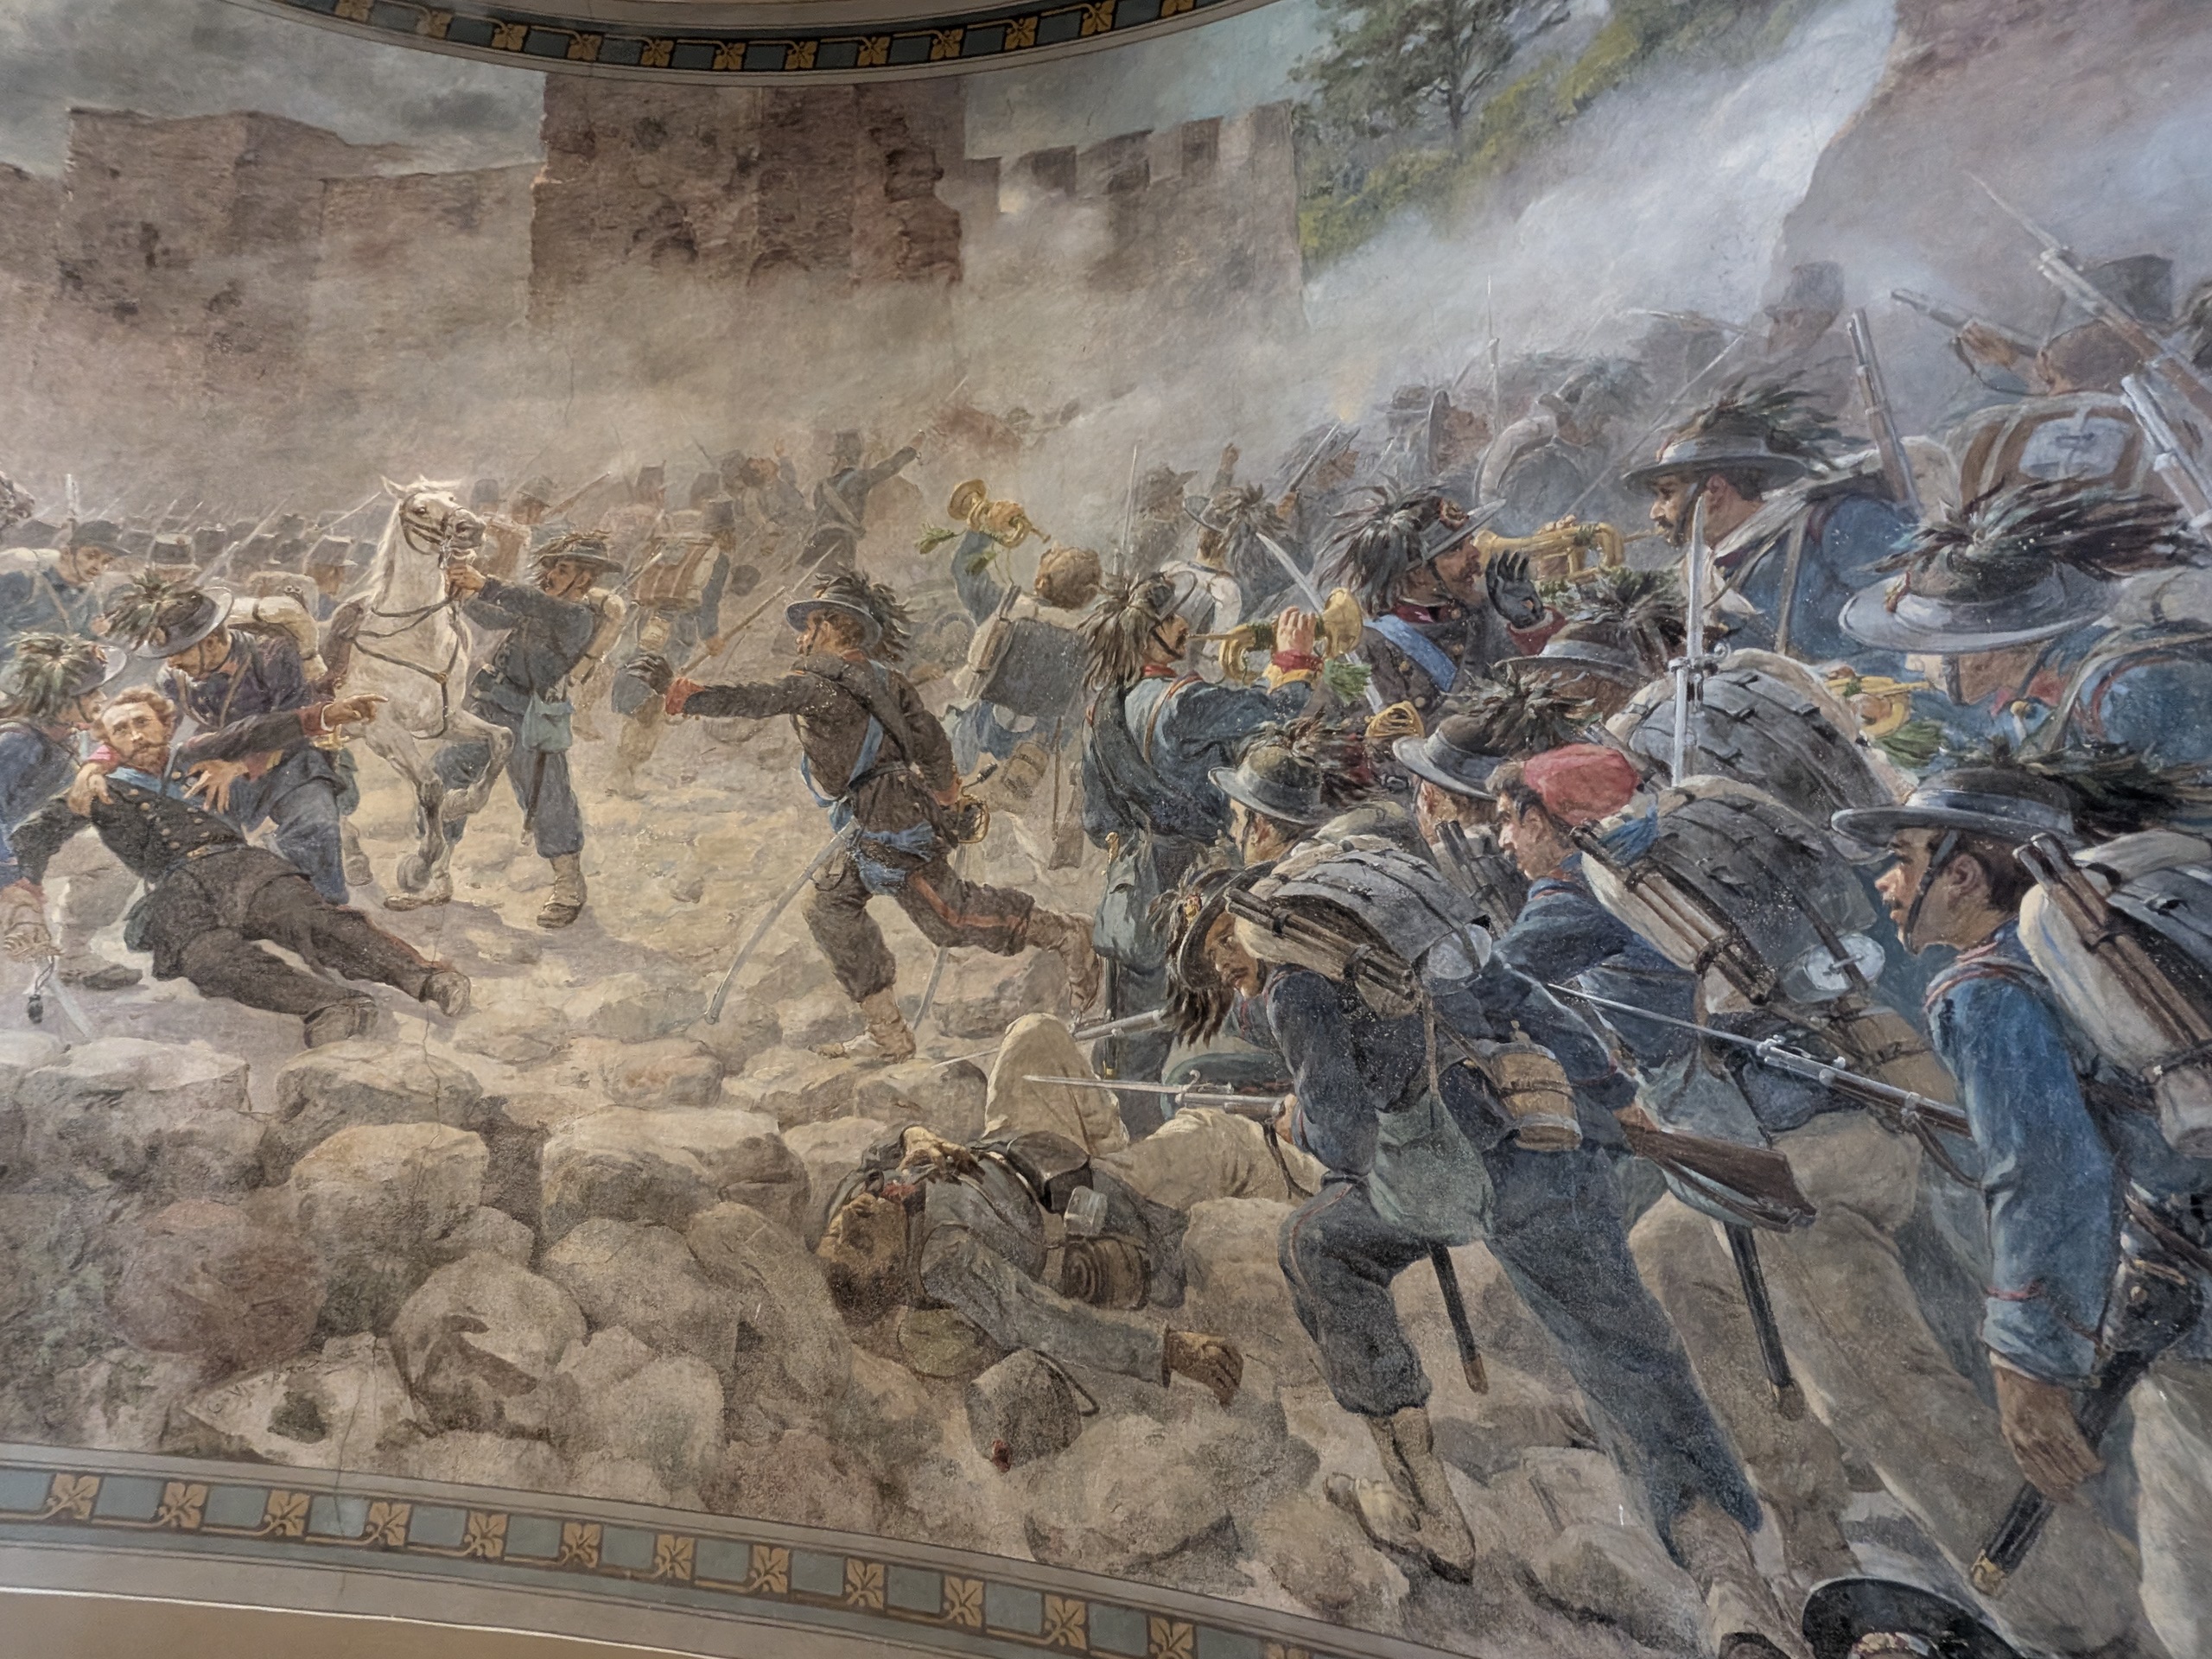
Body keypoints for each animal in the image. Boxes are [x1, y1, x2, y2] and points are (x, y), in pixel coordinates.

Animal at [333, 479, 515, 910]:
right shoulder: (386, 732)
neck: (415, 638)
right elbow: (430, 786)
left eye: (450, 499)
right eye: (419, 509)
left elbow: (502, 738)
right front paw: (418, 868)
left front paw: (464, 802)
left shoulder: (445, 721)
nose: (471, 527)